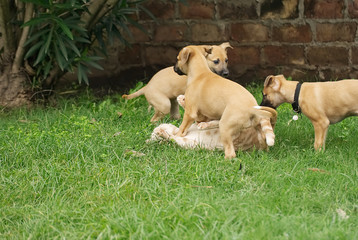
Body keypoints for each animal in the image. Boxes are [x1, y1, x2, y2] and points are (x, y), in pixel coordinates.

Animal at [147, 94, 278, 151]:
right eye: (154, 137)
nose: (157, 131)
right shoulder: (192, 144)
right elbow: (173, 139)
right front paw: (163, 136)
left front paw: (183, 99)